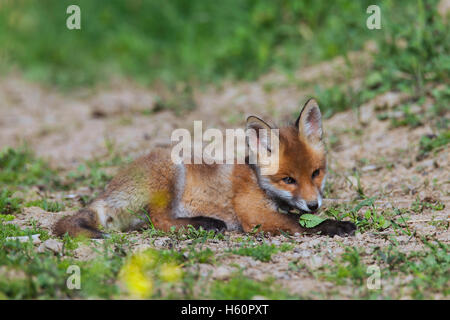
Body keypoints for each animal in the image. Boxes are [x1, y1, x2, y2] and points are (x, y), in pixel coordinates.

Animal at [52, 99, 356, 238]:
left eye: (316, 173)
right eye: (288, 179)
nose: (314, 204)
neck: (257, 181)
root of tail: (109, 190)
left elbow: (301, 218)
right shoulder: (256, 216)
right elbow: (300, 224)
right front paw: (335, 225)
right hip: (171, 172)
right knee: (160, 221)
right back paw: (207, 223)